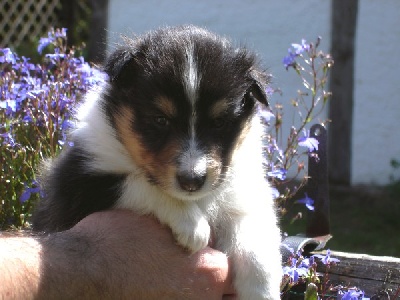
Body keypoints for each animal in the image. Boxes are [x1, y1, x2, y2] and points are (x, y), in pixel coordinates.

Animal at [32, 25, 282, 298]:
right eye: (160, 120)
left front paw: (263, 291)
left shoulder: (243, 196)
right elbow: (140, 184)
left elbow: (256, 248)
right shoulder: (81, 183)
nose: (192, 181)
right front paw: (193, 226)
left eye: (219, 122)